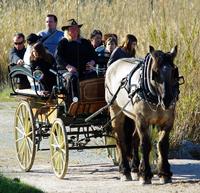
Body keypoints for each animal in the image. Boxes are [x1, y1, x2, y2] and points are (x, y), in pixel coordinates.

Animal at [105, 45, 182, 184]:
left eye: (174, 72)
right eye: (155, 73)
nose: (167, 100)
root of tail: (114, 64)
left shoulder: (168, 121)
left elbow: (162, 145)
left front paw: (164, 174)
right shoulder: (143, 120)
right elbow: (145, 145)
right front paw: (145, 175)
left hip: (134, 116)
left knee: (134, 140)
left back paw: (135, 169)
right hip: (116, 110)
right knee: (120, 140)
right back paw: (124, 171)